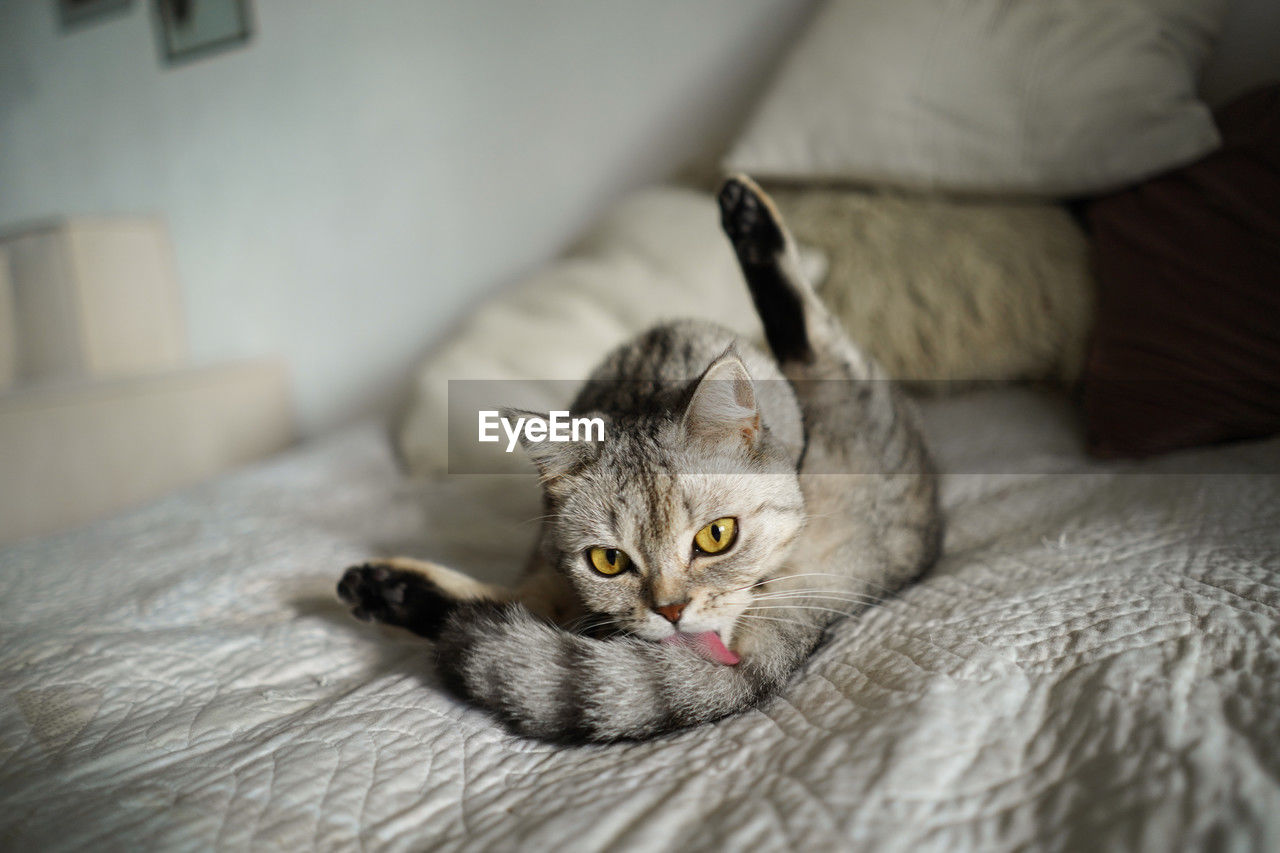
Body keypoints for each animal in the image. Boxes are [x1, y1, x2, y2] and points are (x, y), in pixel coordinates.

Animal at [337, 175, 942, 742]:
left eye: (717, 536)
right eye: (608, 561)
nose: (670, 612)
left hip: (849, 399)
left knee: (810, 330)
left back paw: (747, 213)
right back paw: (385, 588)